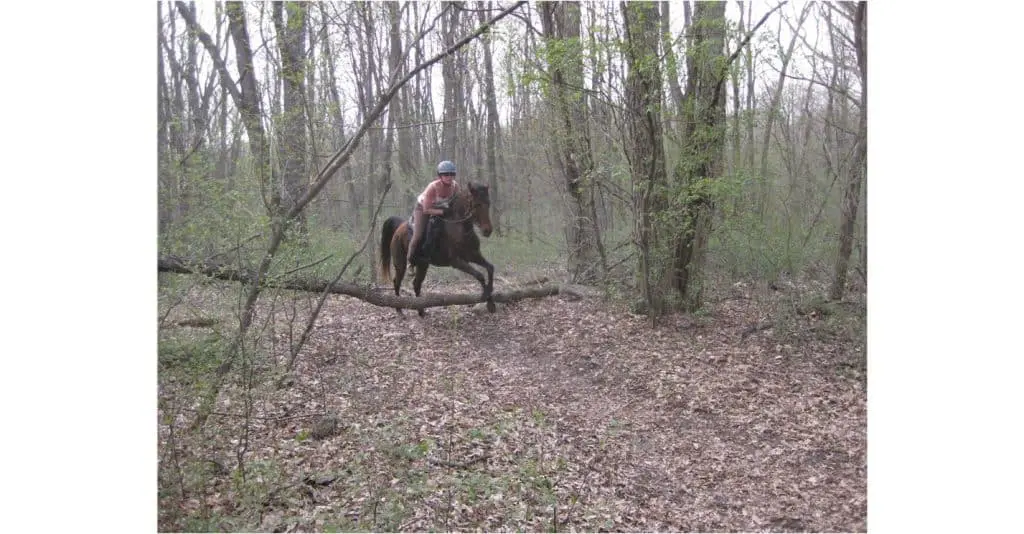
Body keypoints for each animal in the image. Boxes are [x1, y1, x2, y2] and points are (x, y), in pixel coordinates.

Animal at [379, 182, 495, 317]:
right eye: (477, 204)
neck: (460, 228)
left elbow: (490, 268)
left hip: (423, 264)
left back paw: (421, 311)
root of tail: (399, 227)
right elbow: (479, 275)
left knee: (416, 284)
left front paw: (491, 301)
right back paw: (399, 309)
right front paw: (486, 297)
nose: (487, 231)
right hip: (400, 263)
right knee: (397, 282)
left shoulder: (473, 255)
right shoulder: (456, 261)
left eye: (489, 203)